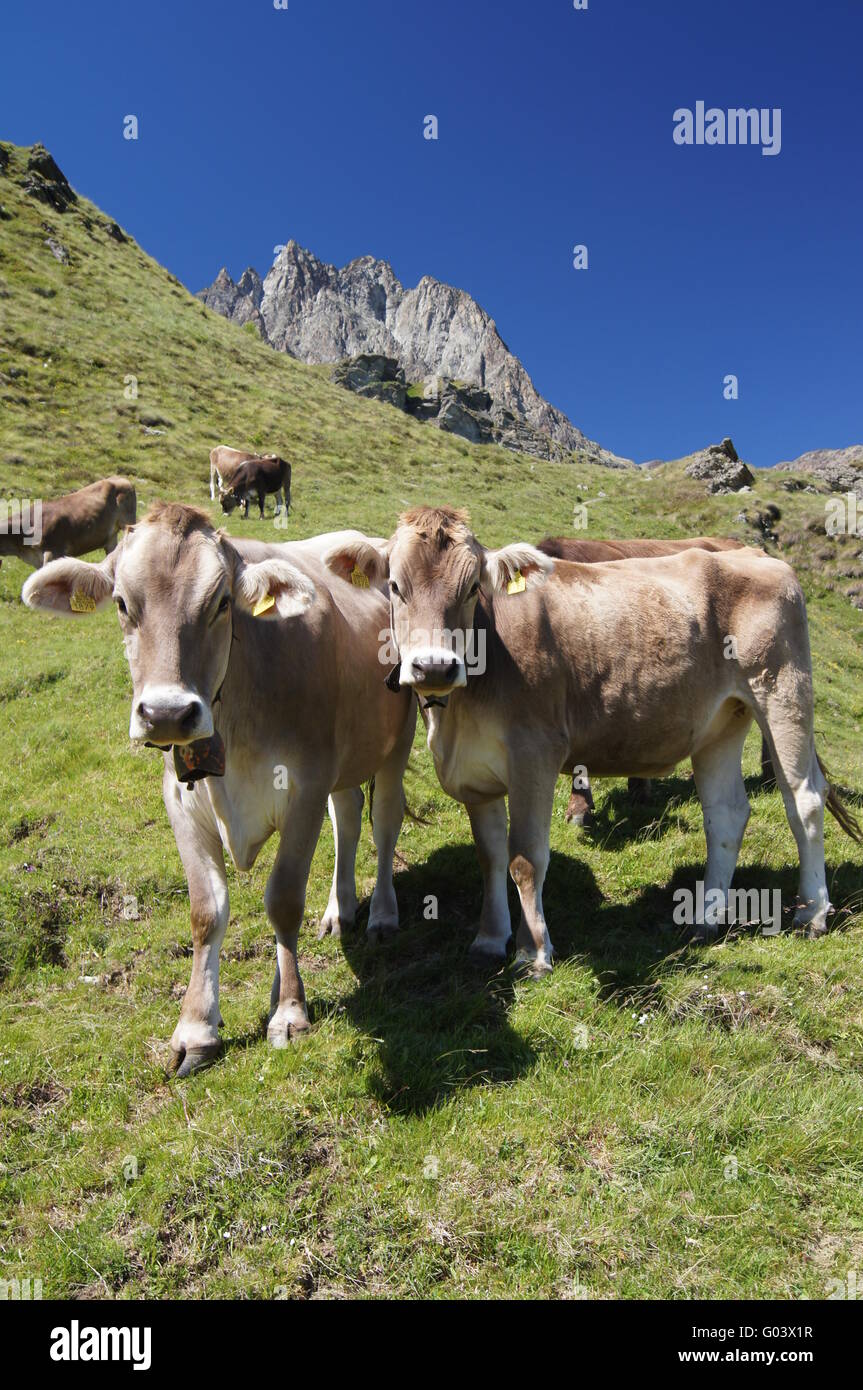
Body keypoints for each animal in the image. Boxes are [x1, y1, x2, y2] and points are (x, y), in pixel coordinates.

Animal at [22, 506, 415, 1076]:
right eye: (121, 603)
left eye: (221, 602)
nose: (166, 713)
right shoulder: (182, 801)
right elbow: (206, 912)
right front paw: (196, 1027)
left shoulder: (305, 787)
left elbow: (283, 900)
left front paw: (288, 1011)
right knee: (347, 816)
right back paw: (338, 911)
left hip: (396, 740)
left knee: (383, 822)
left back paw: (382, 914)